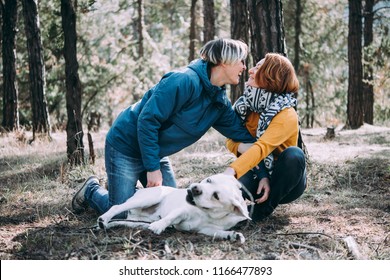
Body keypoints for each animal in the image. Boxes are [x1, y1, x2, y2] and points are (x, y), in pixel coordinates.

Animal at [96, 174, 251, 244]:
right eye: (209, 180)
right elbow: (171, 217)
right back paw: (104, 218)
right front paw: (159, 225)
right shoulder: (181, 211)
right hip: (148, 199)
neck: (208, 214)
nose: (195, 189)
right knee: (116, 206)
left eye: (216, 196)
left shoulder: (206, 229)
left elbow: (219, 233)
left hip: (137, 222)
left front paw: (233, 235)